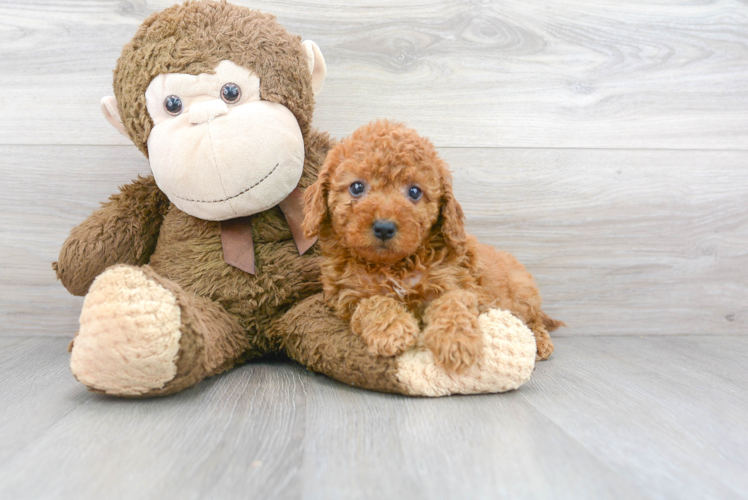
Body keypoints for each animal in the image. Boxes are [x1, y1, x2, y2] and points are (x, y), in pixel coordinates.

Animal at [300, 120, 560, 372]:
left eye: (415, 191)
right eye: (356, 187)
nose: (384, 227)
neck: (393, 266)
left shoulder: (458, 283)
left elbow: (453, 301)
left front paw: (456, 342)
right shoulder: (346, 296)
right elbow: (373, 303)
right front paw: (393, 329)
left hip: (521, 295)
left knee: (534, 319)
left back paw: (541, 342)